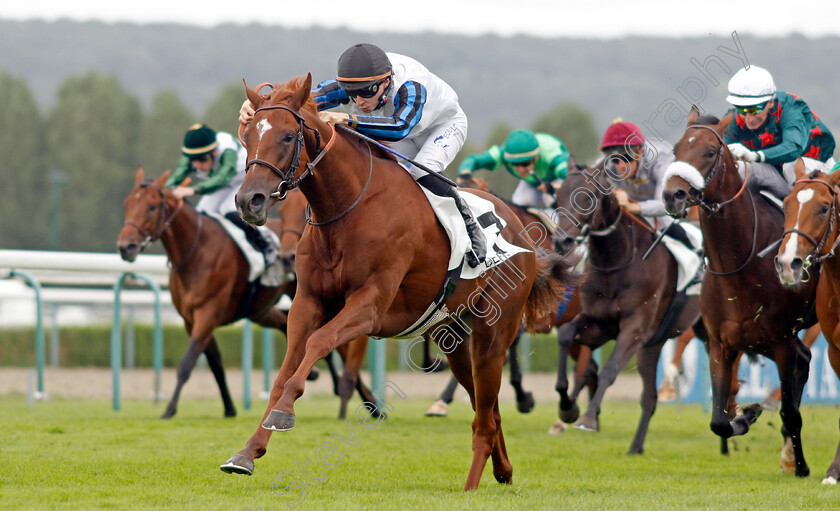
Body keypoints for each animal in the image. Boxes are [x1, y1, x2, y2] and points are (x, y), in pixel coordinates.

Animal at [116, 168, 290, 420]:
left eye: (151, 207)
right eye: (127, 204)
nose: (125, 247)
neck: (197, 250)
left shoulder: (207, 314)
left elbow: (186, 365)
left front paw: (169, 409)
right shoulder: (191, 319)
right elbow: (215, 363)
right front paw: (229, 408)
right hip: (259, 309)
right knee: (287, 324)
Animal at [218, 76, 576, 492]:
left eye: (289, 136)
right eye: (247, 136)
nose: (250, 201)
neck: (348, 208)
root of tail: (521, 228)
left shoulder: (370, 305)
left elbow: (319, 343)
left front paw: (284, 413)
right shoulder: (307, 302)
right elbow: (287, 367)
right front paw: (248, 451)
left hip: (493, 335)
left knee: (485, 416)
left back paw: (472, 484)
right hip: (455, 340)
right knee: (488, 409)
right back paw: (503, 470)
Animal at [548, 162, 704, 454]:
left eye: (588, 196)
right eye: (558, 196)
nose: (562, 242)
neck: (616, 262)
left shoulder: (634, 328)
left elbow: (609, 370)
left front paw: (588, 418)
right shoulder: (597, 323)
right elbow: (564, 336)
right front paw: (567, 408)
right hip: (653, 346)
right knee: (649, 398)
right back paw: (636, 446)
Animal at [660, 107, 816, 476]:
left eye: (709, 152)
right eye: (676, 149)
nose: (673, 195)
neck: (741, 264)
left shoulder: (781, 341)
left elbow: (790, 412)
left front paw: (802, 466)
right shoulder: (721, 343)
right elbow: (719, 418)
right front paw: (746, 414)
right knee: (805, 360)